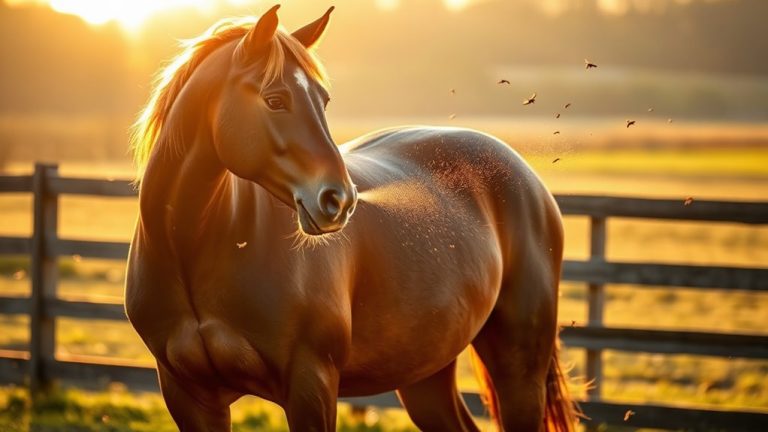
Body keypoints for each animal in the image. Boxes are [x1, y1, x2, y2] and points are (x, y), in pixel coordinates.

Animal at [125, 5, 578, 431]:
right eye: (275, 99)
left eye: (323, 100)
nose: (339, 200)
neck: (193, 249)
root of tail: (528, 180)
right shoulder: (189, 396)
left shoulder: (311, 385)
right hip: (425, 375)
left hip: (520, 371)